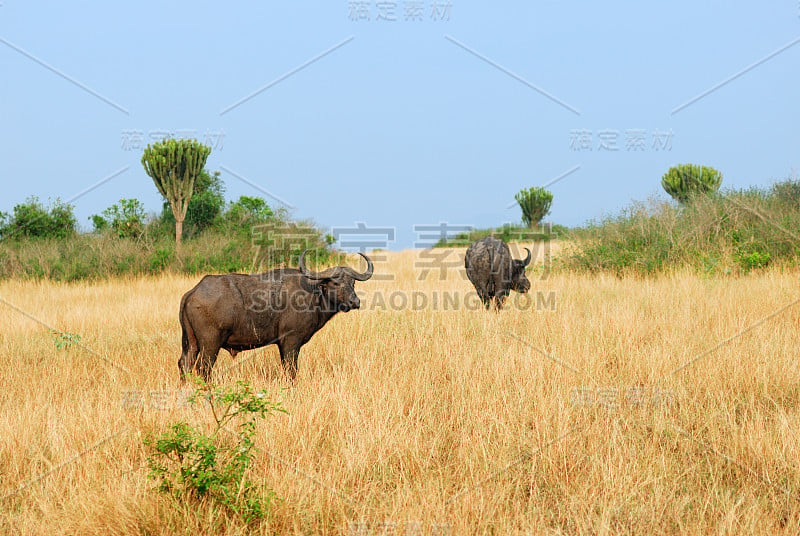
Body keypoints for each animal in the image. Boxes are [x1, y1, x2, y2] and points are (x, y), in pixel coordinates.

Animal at [178, 250, 372, 382]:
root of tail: (193, 292)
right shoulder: (290, 342)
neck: (313, 295)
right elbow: (291, 370)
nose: (355, 302)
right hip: (210, 344)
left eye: (352, 283)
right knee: (204, 368)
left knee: (184, 364)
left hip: (191, 343)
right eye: (335, 283)